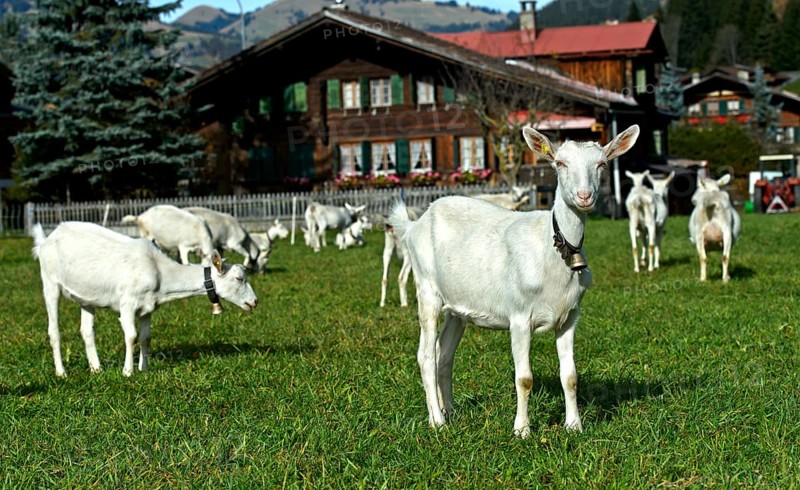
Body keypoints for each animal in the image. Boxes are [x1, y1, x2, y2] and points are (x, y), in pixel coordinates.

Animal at [31, 221, 258, 378]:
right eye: (239, 278)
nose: (254, 302)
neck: (158, 272)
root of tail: (46, 240)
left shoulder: (148, 307)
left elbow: (145, 337)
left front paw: (144, 369)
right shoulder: (127, 303)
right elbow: (131, 336)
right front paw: (127, 371)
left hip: (86, 297)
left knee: (87, 330)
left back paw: (96, 368)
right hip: (49, 281)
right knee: (54, 331)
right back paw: (61, 372)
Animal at [389, 124, 640, 437]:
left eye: (602, 164)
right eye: (560, 163)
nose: (584, 196)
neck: (552, 248)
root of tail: (413, 225)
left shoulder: (570, 316)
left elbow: (570, 376)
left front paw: (574, 426)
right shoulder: (519, 316)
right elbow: (524, 378)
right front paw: (522, 430)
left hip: (457, 308)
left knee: (443, 354)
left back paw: (451, 412)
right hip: (426, 289)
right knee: (425, 355)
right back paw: (437, 421)